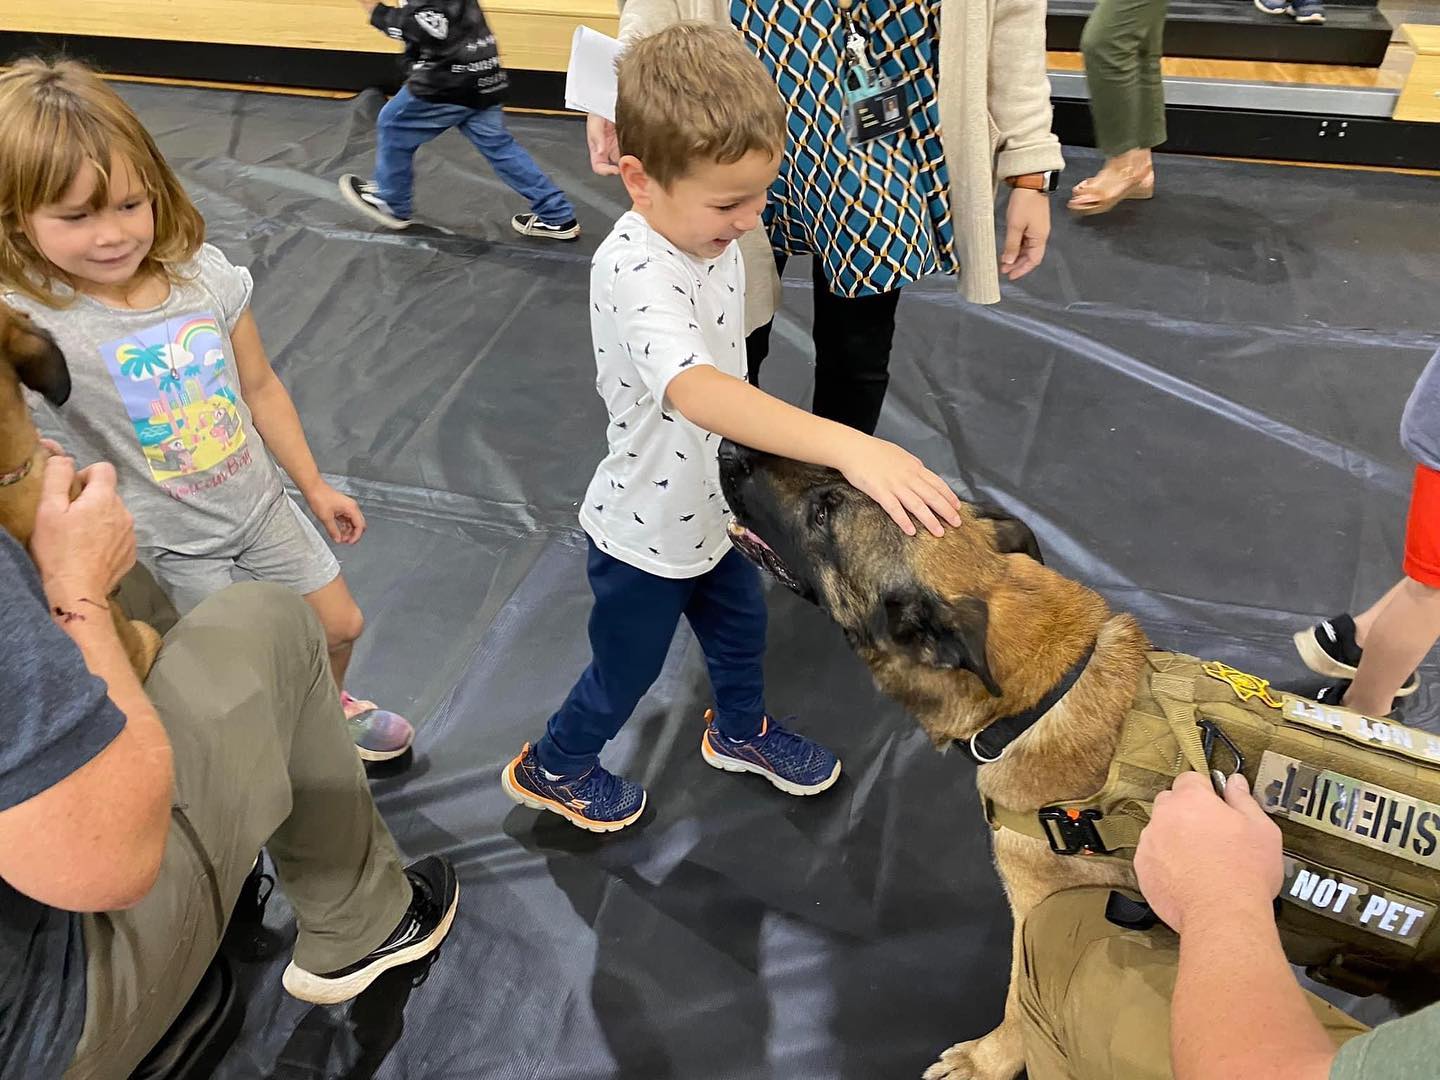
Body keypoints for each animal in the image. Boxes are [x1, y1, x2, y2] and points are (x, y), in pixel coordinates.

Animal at [714, 440, 1255, 1080]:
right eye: (833, 470)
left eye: (824, 513)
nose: (727, 448)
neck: (1045, 694)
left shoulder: (1038, 909)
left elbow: (1017, 997)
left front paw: (987, 1060)